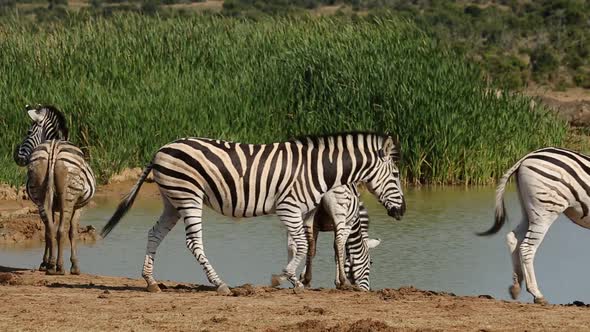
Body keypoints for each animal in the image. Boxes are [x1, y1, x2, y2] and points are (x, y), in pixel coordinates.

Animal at [14, 104, 96, 274]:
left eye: (28, 132)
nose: (17, 158)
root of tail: (54, 147)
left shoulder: (51, 205)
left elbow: (47, 232)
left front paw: (44, 263)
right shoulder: (79, 206)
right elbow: (73, 232)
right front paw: (75, 266)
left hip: (40, 195)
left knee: (50, 230)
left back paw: (51, 265)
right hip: (68, 197)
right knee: (61, 230)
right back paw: (59, 266)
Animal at [102, 131, 408, 294]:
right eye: (395, 175)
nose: (403, 211)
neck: (318, 171)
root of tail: (161, 149)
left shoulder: (303, 212)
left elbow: (301, 246)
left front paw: (294, 279)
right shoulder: (288, 208)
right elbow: (301, 246)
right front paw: (287, 278)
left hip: (171, 200)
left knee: (154, 233)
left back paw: (151, 281)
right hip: (188, 196)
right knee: (193, 242)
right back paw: (220, 284)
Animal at [478, 148, 590, 306]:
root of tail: (527, 156)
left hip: (529, 210)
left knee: (513, 238)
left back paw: (516, 286)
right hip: (544, 212)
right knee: (527, 247)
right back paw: (537, 294)